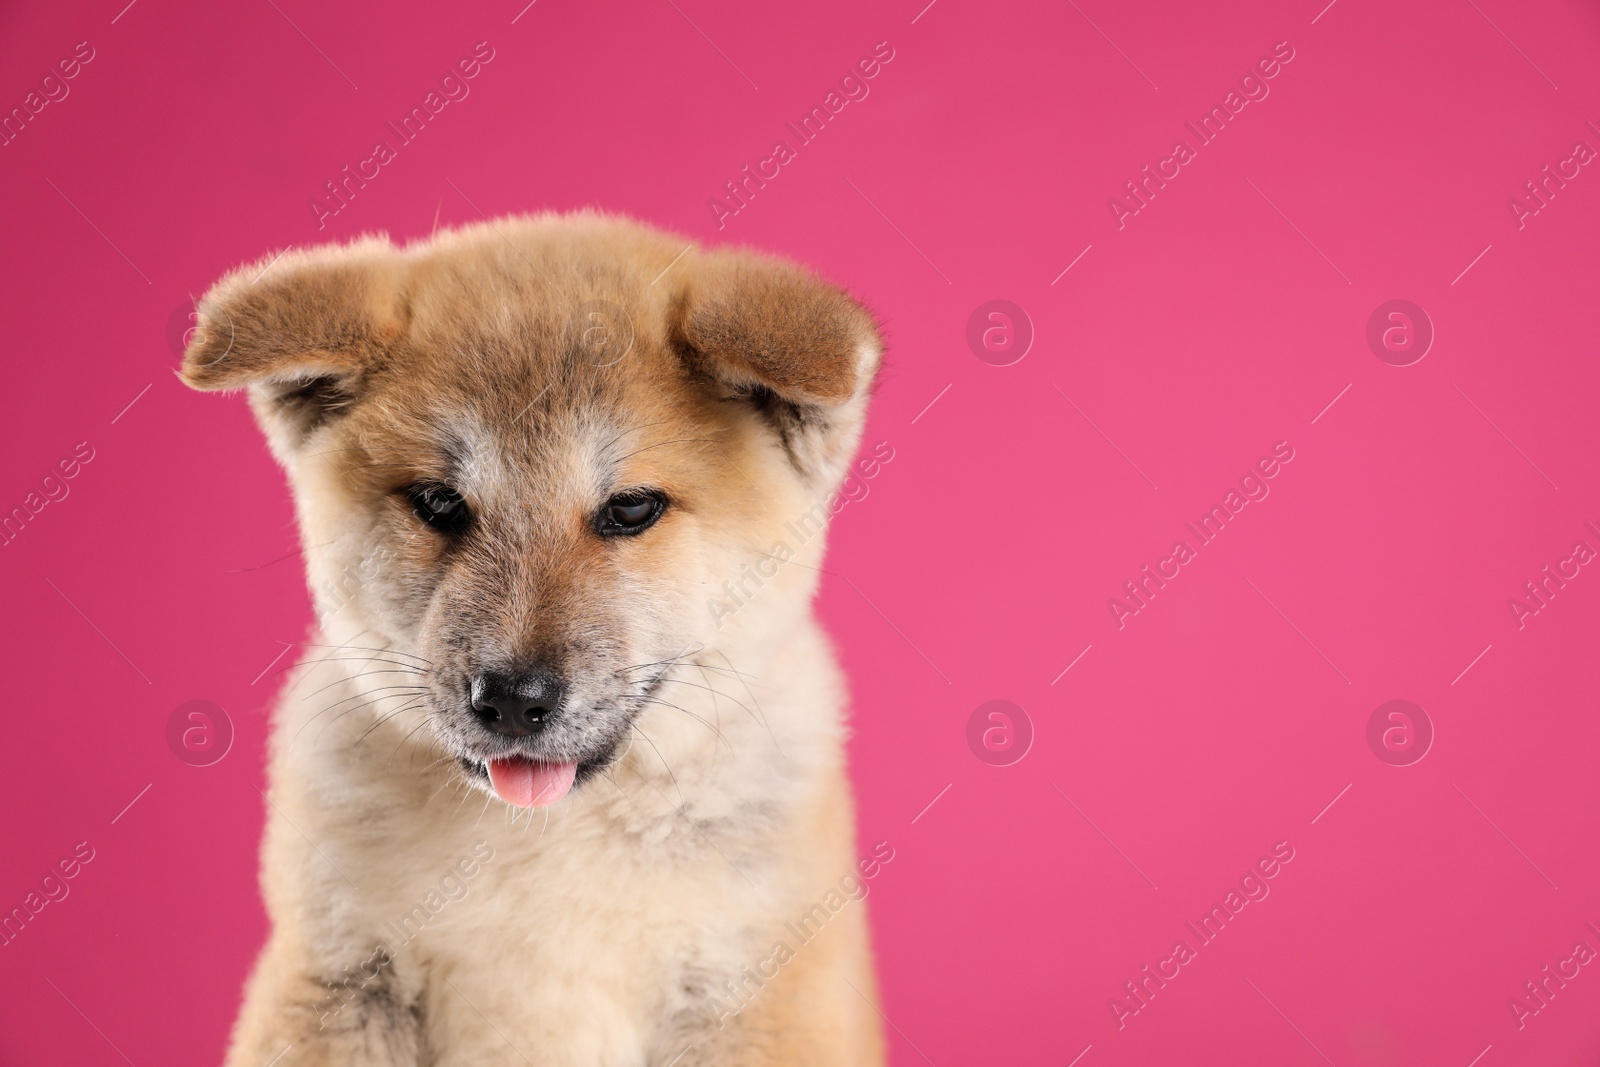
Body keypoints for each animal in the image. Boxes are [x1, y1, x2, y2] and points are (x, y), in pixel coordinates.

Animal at [187, 212, 896, 1062]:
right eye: (438, 502)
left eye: (631, 508)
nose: (512, 701)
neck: (547, 833)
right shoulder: (336, 975)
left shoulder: (756, 993)